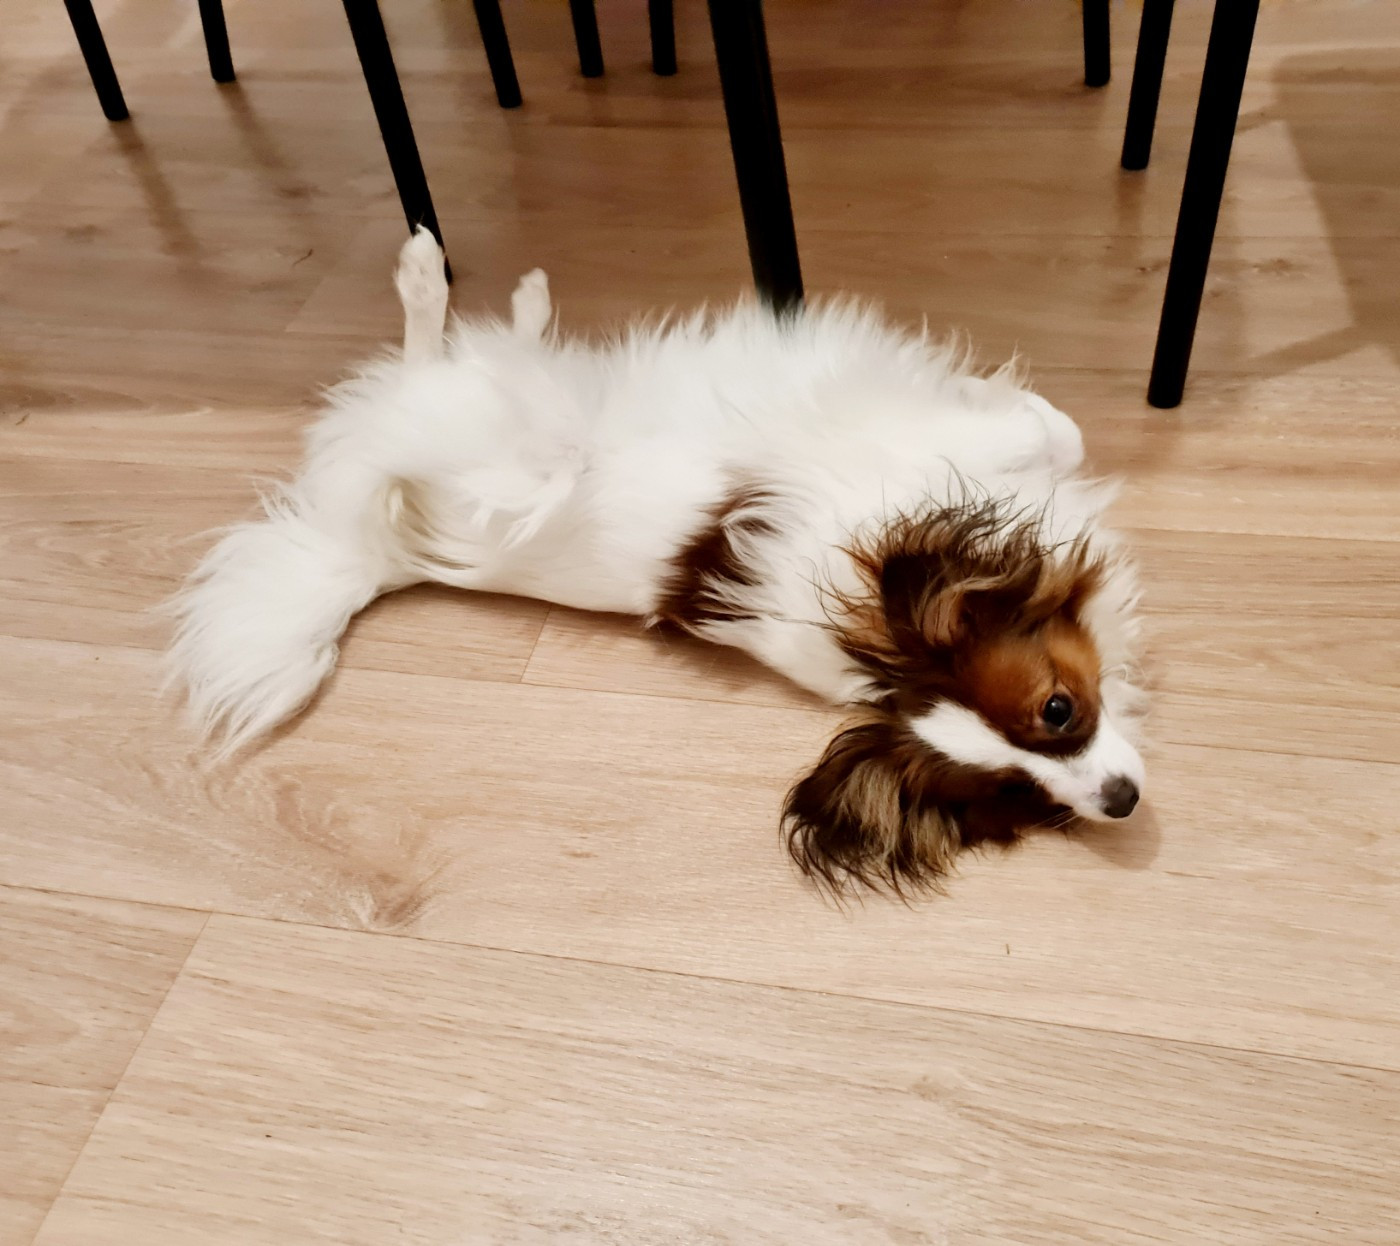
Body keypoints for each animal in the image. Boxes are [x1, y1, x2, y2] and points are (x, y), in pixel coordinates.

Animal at [169, 228, 1146, 894]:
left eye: (1034, 791)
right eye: (1057, 713)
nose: (1123, 801)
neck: (879, 617)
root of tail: (389, 552)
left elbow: (1052, 434)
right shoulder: (929, 452)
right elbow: (1047, 427)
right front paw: (1002, 396)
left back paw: (521, 304)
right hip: (485, 440)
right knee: (426, 368)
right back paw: (430, 277)